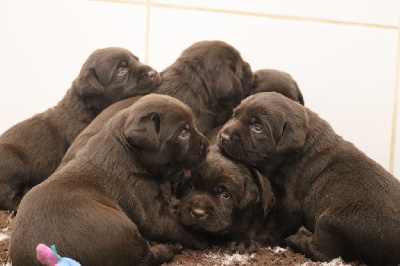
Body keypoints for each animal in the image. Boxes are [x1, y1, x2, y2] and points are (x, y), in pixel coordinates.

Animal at [0, 46, 159, 211]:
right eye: (121, 71)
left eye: (137, 59)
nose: (153, 73)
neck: (85, 108)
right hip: (10, 157)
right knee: (6, 195)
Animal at [9, 94, 209, 266]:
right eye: (183, 134)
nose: (207, 145)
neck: (131, 153)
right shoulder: (152, 215)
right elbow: (177, 228)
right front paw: (202, 238)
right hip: (124, 232)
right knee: (145, 258)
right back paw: (169, 248)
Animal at [217, 91, 400, 264]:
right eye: (234, 115)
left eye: (257, 127)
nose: (224, 137)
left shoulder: (290, 204)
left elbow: (275, 225)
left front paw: (254, 238)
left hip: (335, 220)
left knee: (322, 251)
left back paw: (297, 238)